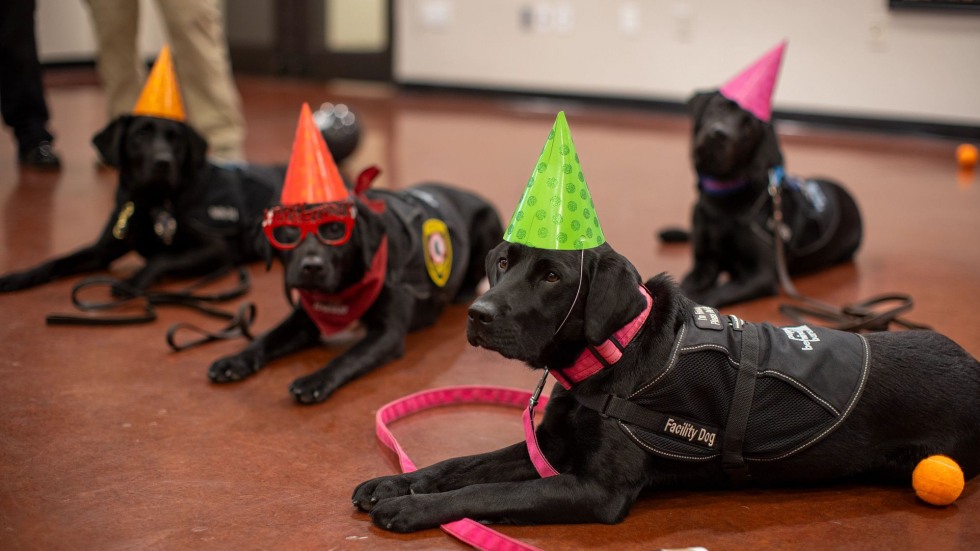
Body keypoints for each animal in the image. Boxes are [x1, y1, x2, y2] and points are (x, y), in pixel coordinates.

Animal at [206, 103, 498, 406]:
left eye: (335, 229)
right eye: (289, 231)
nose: (312, 267)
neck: (345, 286)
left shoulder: (386, 333)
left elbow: (348, 357)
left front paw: (315, 380)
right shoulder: (305, 317)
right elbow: (268, 337)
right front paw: (236, 360)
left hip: (487, 225)